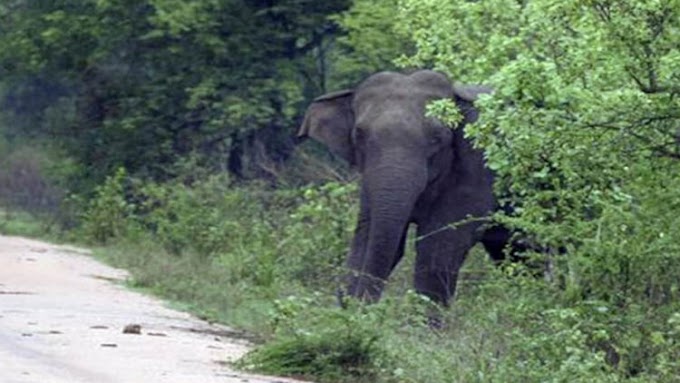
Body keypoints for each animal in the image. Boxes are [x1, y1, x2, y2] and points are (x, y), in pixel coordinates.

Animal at [298, 70, 510, 308]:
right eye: (359, 134)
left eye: (438, 137)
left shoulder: (479, 167)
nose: (358, 304)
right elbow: (367, 236)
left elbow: (437, 249)